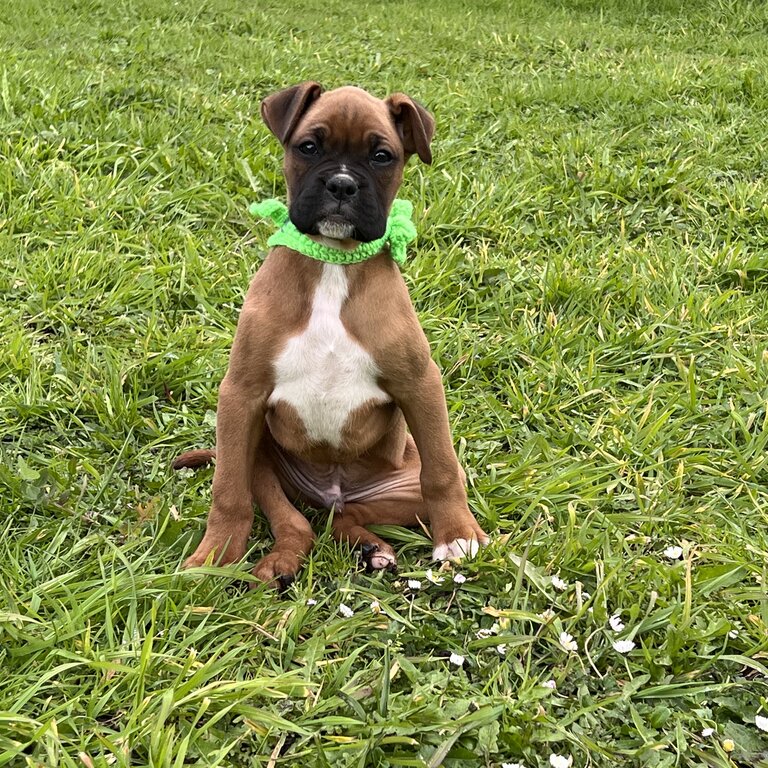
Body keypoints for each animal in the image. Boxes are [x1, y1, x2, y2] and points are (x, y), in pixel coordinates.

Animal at [176, 82, 486, 588]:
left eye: (382, 156)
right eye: (308, 147)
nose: (342, 185)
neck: (333, 262)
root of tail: (330, 493)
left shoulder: (420, 384)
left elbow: (441, 471)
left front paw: (459, 536)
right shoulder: (240, 394)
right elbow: (228, 492)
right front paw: (216, 556)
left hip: (399, 485)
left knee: (354, 512)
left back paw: (370, 547)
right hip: (257, 452)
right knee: (294, 520)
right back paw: (284, 560)